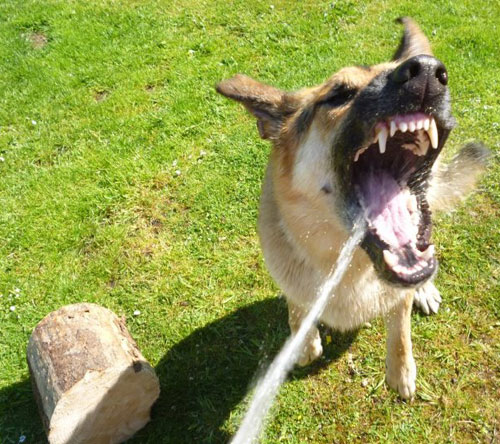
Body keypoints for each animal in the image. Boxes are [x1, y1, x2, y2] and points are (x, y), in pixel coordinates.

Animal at [216, 18, 488, 398]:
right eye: (339, 95)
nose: (426, 71)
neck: (349, 265)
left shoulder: (399, 293)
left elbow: (400, 326)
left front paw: (401, 371)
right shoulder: (291, 281)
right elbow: (297, 309)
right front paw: (304, 343)